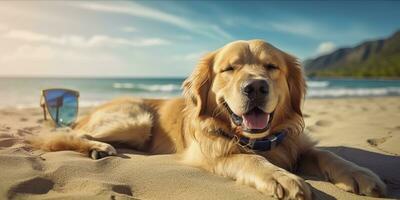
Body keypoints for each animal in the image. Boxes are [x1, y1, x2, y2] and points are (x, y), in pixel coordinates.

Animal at [29, 39, 386, 199]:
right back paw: (98, 147)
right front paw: (283, 178)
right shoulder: (213, 152)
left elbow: (327, 153)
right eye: (229, 68)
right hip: (137, 119)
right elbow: (250, 160)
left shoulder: (296, 142)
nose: (255, 87)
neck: (260, 140)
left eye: (271, 67)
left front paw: (361, 174)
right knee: (62, 136)